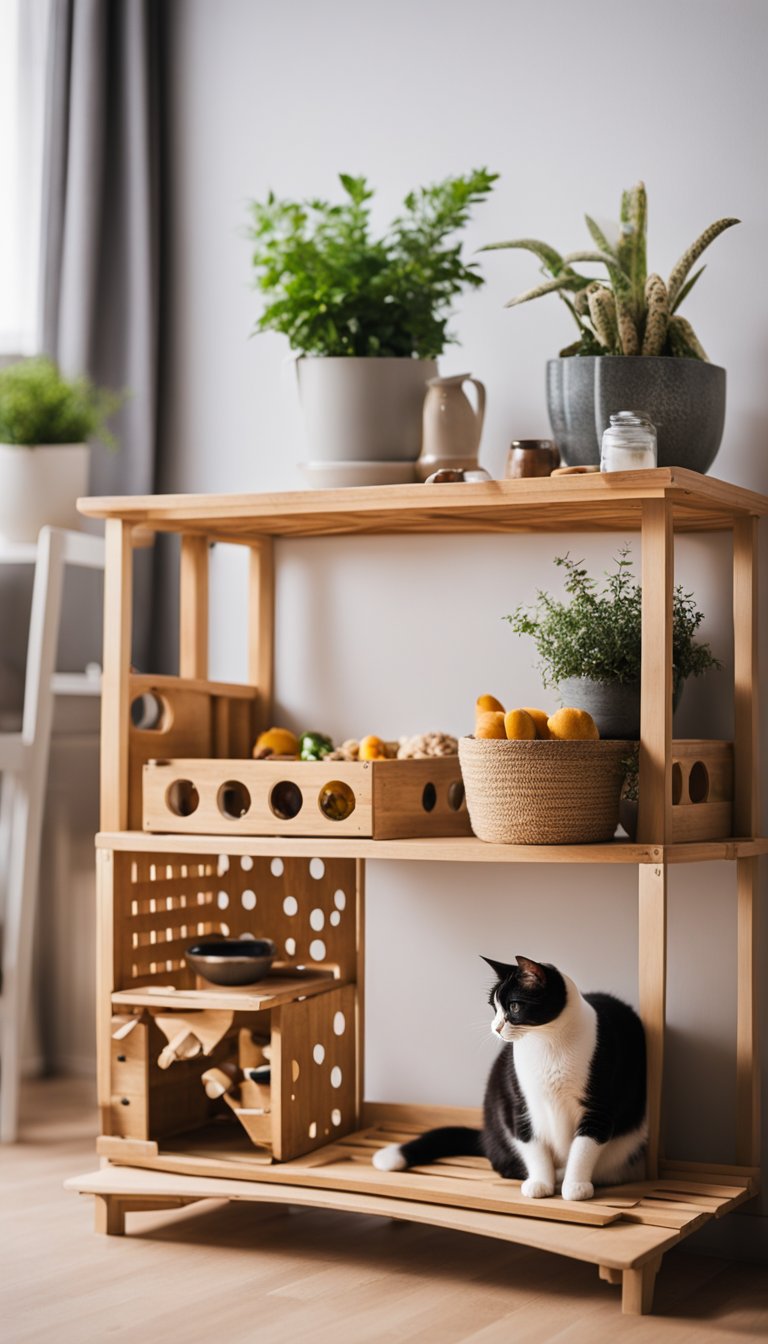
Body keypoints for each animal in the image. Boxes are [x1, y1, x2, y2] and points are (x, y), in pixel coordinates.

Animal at [376, 951, 645, 1204]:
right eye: (494, 1007)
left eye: (514, 1007)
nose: (495, 1027)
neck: (547, 1042)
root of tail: (485, 1137)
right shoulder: (518, 1099)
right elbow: (531, 1142)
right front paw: (540, 1183)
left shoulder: (599, 1103)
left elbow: (584, 1146)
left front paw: (575, 1186)